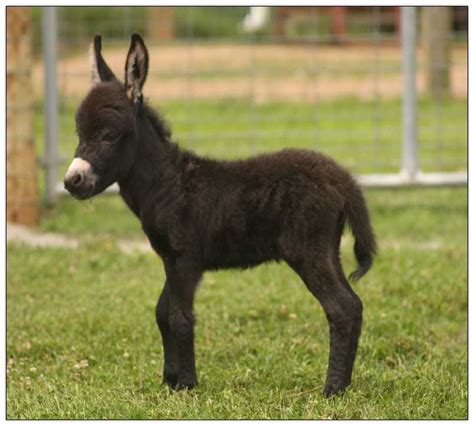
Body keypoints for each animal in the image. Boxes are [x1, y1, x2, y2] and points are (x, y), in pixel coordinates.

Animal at [63, 33, 376, 396]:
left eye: (109, 135)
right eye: (79, 133)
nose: (71, 181)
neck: (167, 182)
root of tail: (341, 177)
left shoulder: (185, 259)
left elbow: (180, 319)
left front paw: (187, 384)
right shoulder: (171, 258)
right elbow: (162, 313)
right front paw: (169, 379)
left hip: (308, 251)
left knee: (342, 308)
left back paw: (332, 389)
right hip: (327, 250)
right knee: (353, 305)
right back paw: (342, 384)